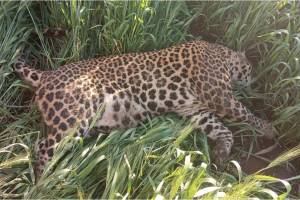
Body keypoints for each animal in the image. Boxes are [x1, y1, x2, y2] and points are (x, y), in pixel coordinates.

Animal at [13, 39, 276, 180]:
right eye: (250, 68)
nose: (254, 80)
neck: (222, 54)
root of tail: (47, 74)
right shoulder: (219, 95)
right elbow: (245, 113)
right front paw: (268, 130)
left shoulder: (195, 110)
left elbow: (224, 130)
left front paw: (221, 154)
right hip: (74, 119)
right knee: (43, 147)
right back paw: (44, 181)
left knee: (43, 145)